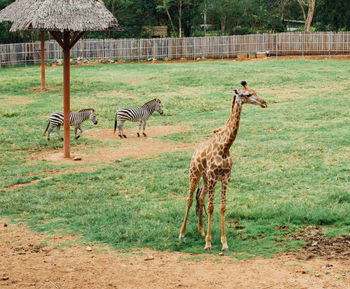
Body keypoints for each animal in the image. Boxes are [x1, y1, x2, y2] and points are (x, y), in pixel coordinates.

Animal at [179, 80, 266, 250]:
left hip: (205, 178)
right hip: (194, 174)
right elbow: (211, 207)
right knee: (190, 199)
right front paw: (208, 243)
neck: (225, 146)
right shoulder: (214, 177)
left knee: (200, 197)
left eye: (255, 91)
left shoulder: (225, 177)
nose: (264, 103)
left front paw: (224, 243)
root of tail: (195, 151)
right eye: (248, 94)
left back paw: (201, 231)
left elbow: (222, 207)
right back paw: (182, 233)